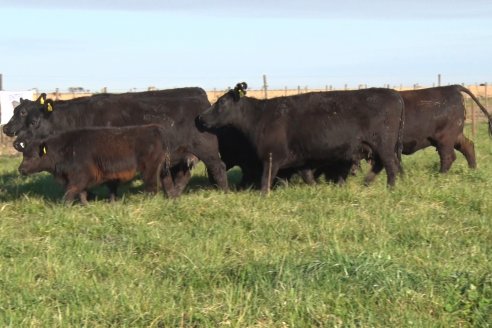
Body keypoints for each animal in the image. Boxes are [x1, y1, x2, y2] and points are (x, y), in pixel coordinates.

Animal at [4, 87, 228, 195]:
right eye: (20, 114)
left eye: (33, 121)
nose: (17, 143)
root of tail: (201, 99)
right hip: (180, 156)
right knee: (182, 175)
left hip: (206, 150)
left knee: (219, 168)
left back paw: (223, 193)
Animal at [17, 124, 188, 204]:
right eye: (24, 154)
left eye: (32, 156)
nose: (21, 169)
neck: (66, 148)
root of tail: (156, 128)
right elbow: (83, 193)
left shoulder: (79, 177)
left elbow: (71, 193)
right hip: (163, 170)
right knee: (168, 185)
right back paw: (172, 199)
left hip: (150, 170)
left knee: (152, 188)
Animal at [198, 82, 406, 193]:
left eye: (221, 102)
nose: (200, 118)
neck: (260, 117)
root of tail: (394, 94)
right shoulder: (300, 158)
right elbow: (307, 177)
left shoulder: (271, 157)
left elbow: (266, 180)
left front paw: (263, 195)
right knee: (381, 165)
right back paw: (367, 182)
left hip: (384, 144)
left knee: (391, 166)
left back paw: (390, 188)